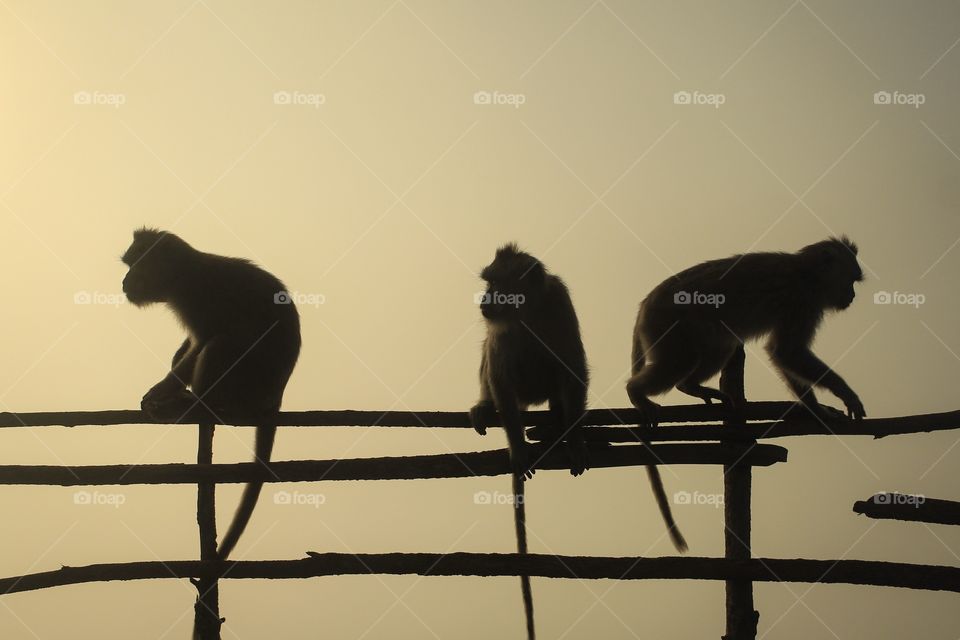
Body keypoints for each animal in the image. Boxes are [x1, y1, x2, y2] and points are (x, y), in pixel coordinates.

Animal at [121, 229, 300, 560]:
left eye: (136, 264)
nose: (125, 280)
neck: (182, 274)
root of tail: (274, 397)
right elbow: (190, 343)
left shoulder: (196, 297)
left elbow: (202, 341)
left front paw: (161, 391)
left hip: (246, 383)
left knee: (220, 343)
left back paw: (197, 405)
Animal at [468, 244, 588, 640]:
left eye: (496, 284)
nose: (484, 299)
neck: (527, 311)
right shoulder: (502, 326)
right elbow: (499, 371)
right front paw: (518, 448)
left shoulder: (559, 304)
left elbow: (573, 369)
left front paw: (575, 441)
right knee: (499, 356)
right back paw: (487, 406)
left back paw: (557, 422)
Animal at [628, 235, 868, 424]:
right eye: (850, 280)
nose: (852, 295)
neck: (808, 274)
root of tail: (646, 303)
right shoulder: (802, 300)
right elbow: (788, 351)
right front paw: (841, 396)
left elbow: (783, 353)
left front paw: (813, 409)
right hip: (666, 323)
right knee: (681, 361)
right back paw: (635, 392)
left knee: (721, 348)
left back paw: (689, 386)